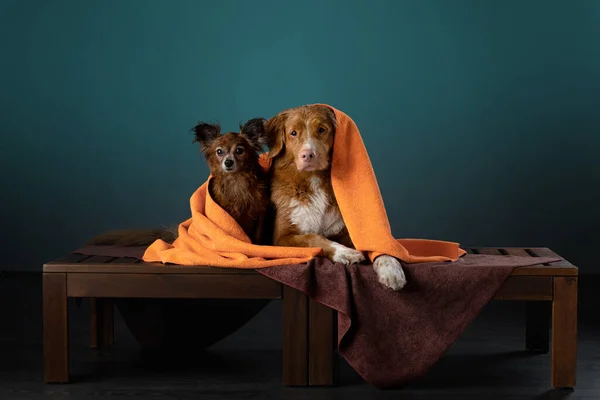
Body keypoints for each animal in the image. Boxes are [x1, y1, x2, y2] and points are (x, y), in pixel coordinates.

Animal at [264, 104, 406, 290]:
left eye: (322, 129)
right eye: (293, 133)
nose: (307, 155)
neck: (313, 180)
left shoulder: (348, 230)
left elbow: (375, 245)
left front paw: (391, 269)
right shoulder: (281, 238)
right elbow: (313, 237)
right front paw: (345, 252)